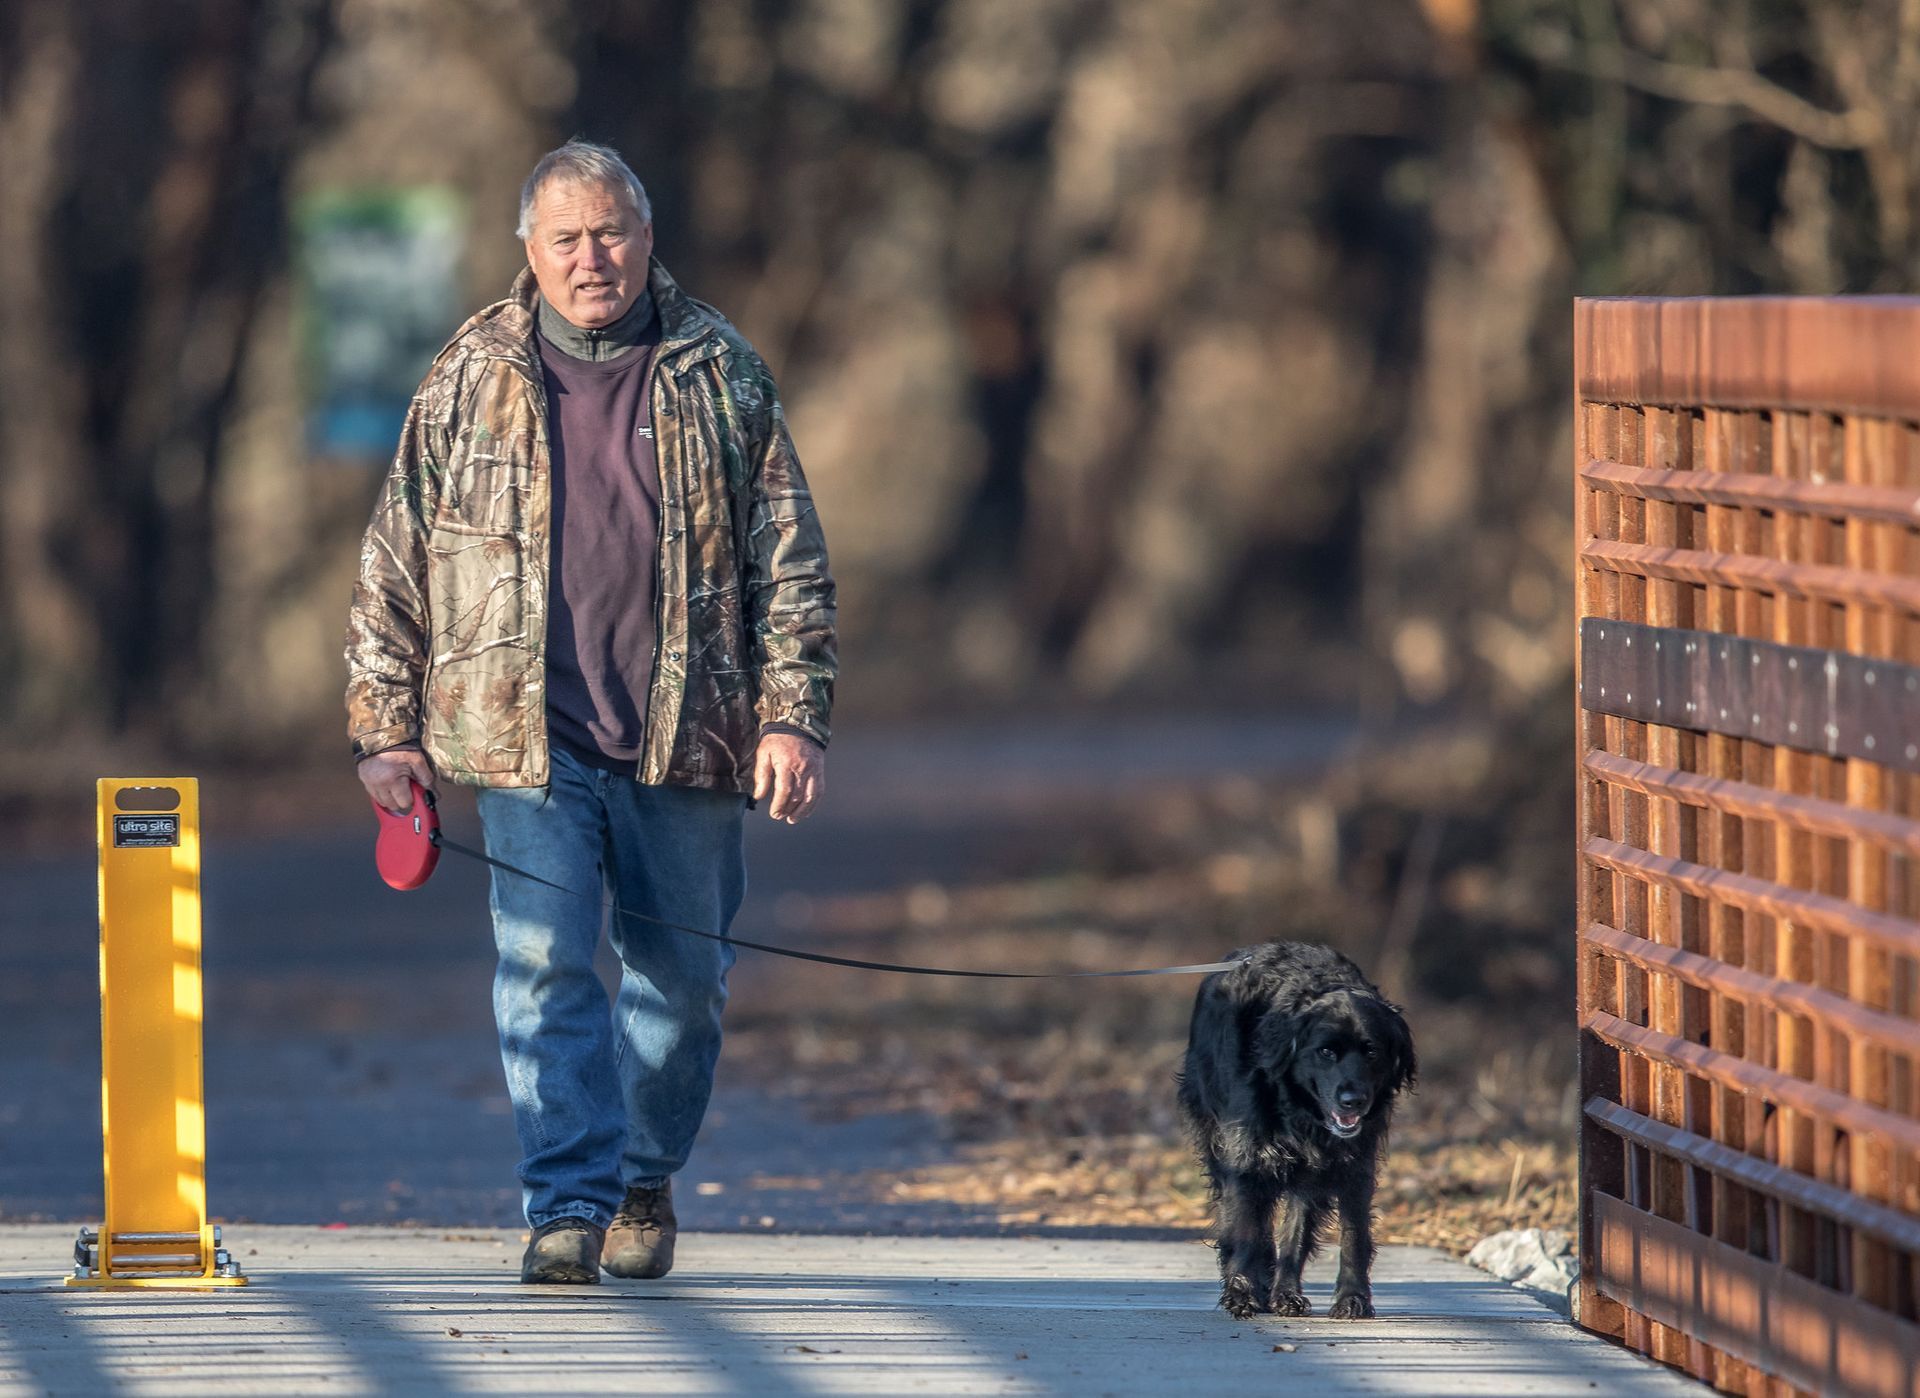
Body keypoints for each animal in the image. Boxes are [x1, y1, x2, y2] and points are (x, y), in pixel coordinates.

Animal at [1175, 944, 1420, 1313]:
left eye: (1372, 1051)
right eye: (1326, 1051)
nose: (1353, 1101)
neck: (1303, 1113)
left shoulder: (1351, 1164)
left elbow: (1343, 1234)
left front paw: (1350, 1297)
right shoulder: (1246, 1158)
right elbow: (1245, 1228)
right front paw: (1242, 1292)